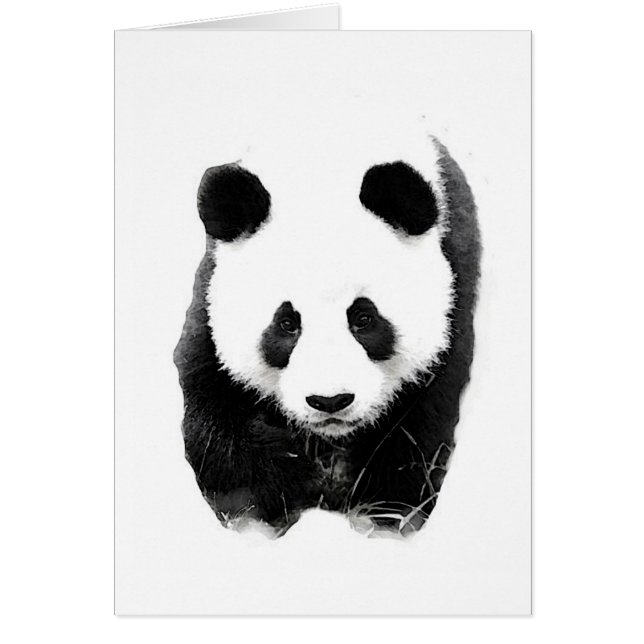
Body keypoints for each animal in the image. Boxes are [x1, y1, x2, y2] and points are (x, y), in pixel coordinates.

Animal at [174, 134, 480, 537]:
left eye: (364, 318)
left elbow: (418, 430)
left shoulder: (455, 291)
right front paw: (289, 484)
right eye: (286, 323)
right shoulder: (209, 302)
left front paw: (381, 514)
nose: (330, 401)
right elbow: (214, 422)